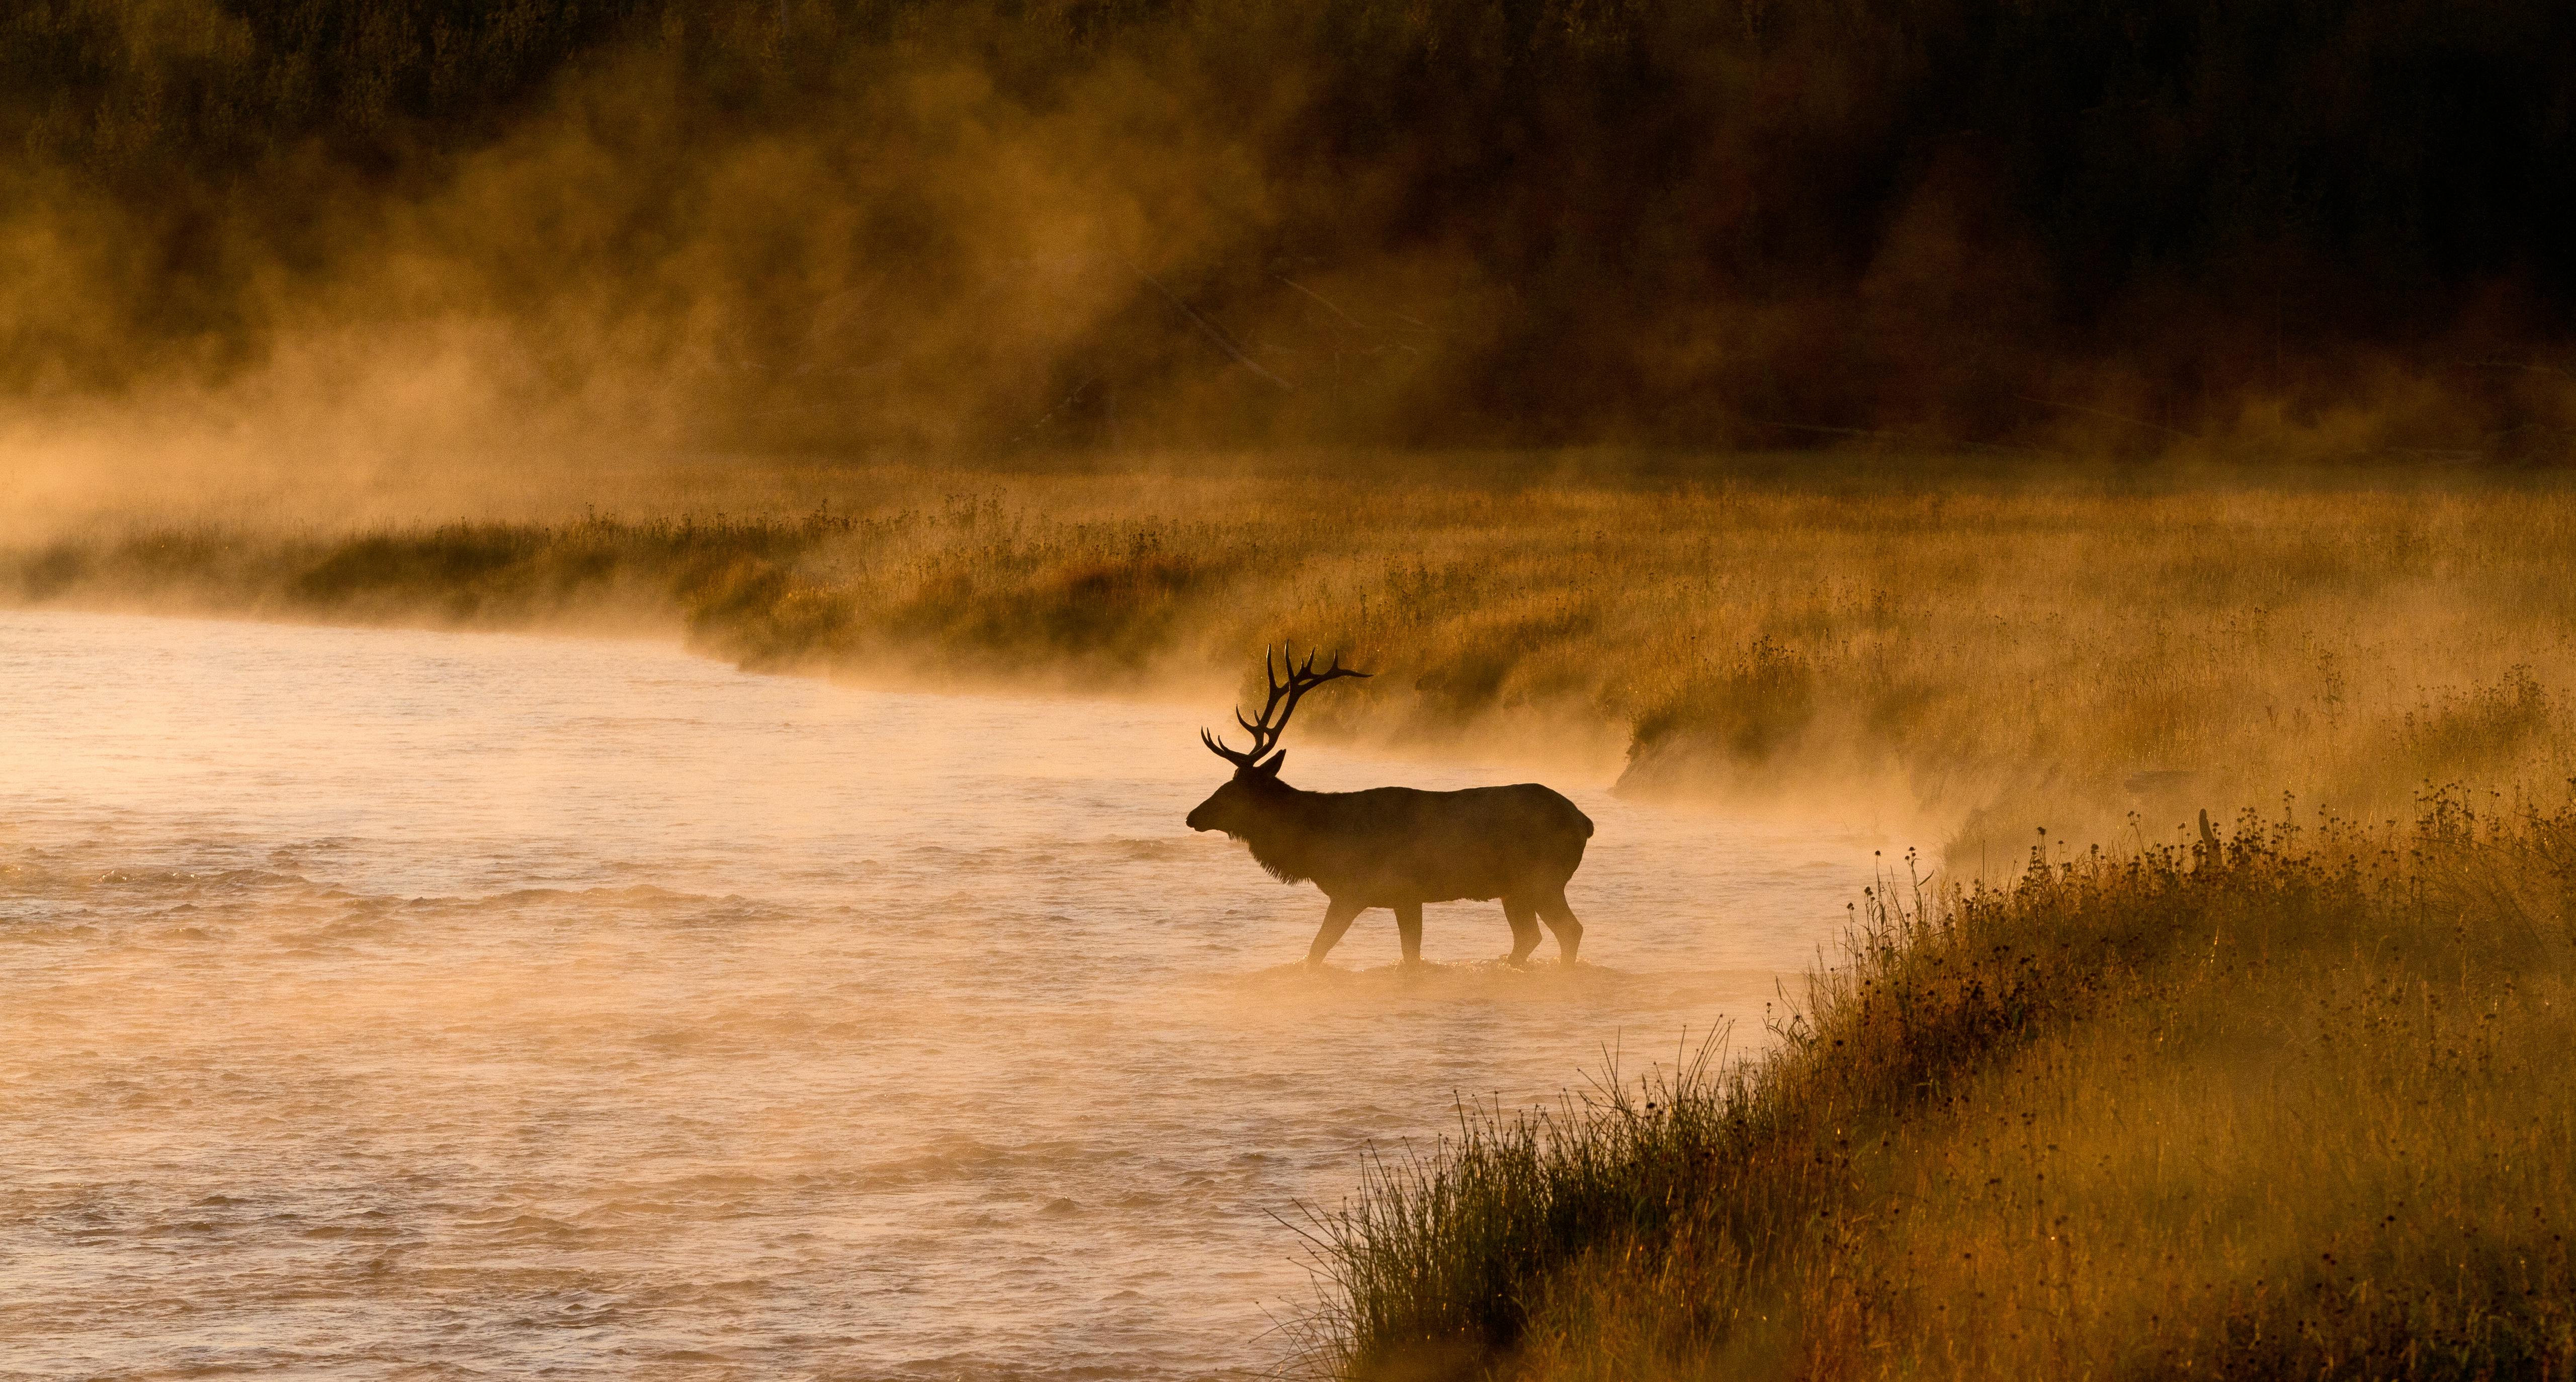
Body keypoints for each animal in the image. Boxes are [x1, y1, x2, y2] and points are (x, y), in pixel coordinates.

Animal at [1184, 647, 1594, 967]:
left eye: (1234, 791)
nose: (1192, 816)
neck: (1319, 843)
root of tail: (1584, 822)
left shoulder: (1371, 891)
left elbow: (1322, 950)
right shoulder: (1398, 897)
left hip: (1543, 879)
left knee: (1569, 930)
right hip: (1516, 889)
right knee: (1529, 937)